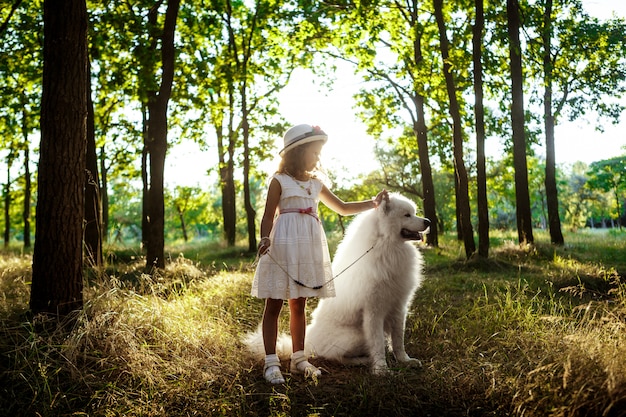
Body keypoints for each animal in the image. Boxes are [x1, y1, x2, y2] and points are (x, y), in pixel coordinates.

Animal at [304, 193, 428, 374]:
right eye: (407, 215)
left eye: (414, 213)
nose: (428, 222)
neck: (386, 246)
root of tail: (308, 341)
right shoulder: (373, 311)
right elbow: (378, 343)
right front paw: (381, 369)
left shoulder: (399, 306)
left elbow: (398, 339)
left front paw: (405, 361)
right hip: (355, 337)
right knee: (336, 357)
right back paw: (363, 361)